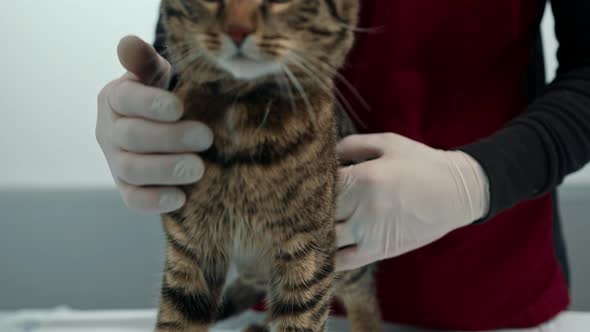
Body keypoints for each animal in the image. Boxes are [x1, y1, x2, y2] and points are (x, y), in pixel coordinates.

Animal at [155, 0, 382, 332]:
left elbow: (303, 316)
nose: (237, 30)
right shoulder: (190, 245)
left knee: (363, 291)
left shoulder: (307, 249)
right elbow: (176, 317)